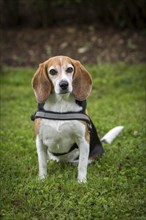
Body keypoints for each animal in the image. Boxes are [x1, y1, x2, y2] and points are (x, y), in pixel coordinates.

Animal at [32, 55, 123, 183]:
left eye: (70, 69)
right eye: (52, 71)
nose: (64, 84)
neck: (61, 104)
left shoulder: (83, 140)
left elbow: (82, 164)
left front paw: (81, 181)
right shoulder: (39, 140)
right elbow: (42, 163)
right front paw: (42, 179)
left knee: (78, 162)